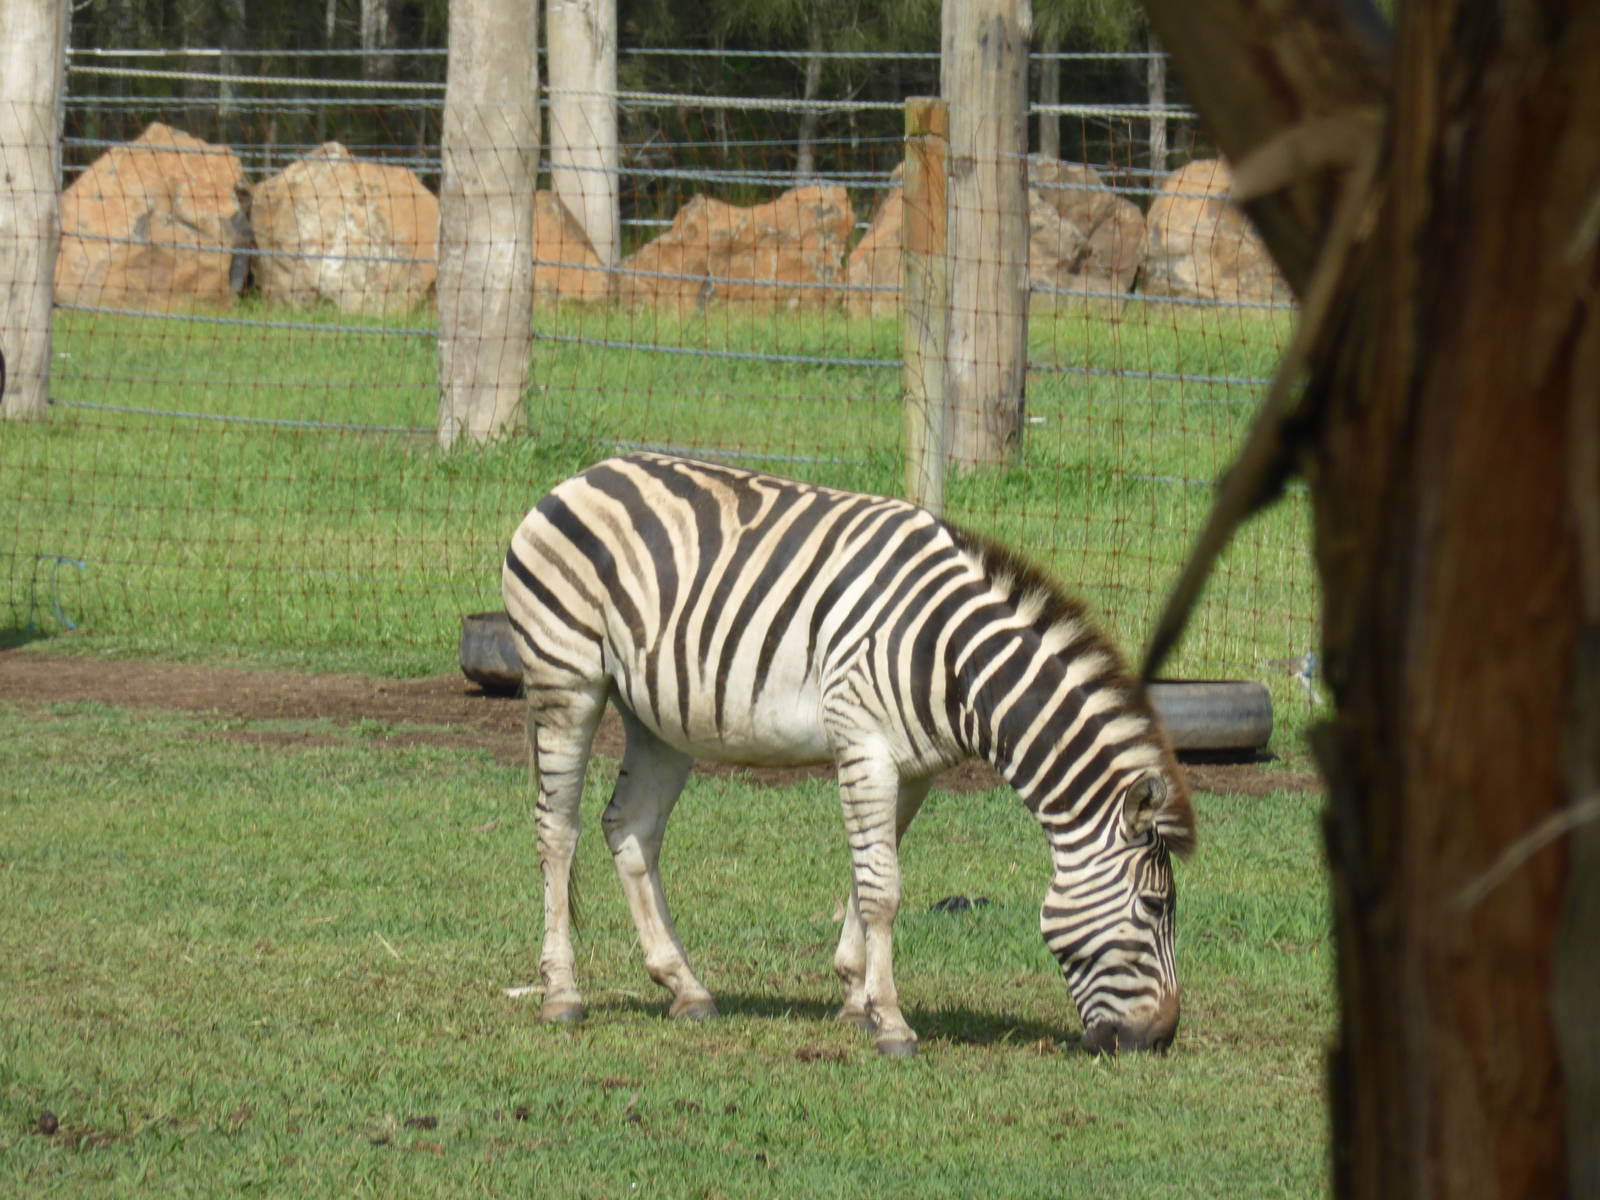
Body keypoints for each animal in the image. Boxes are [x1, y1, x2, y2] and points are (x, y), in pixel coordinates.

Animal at [502, 452, 1196, 1057]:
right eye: (1156, 907)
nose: (1159, 1038)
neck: (952, 661)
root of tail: (585, 474)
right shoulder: (864, 745)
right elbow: (884, 888)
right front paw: (891, 1023)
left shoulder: (912, 770)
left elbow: (870, 875)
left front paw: (855, 998)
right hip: (566, 679)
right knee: (556, 830)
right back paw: (562, 994)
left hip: (660, 718)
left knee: (631, 828)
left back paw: (685, 986)